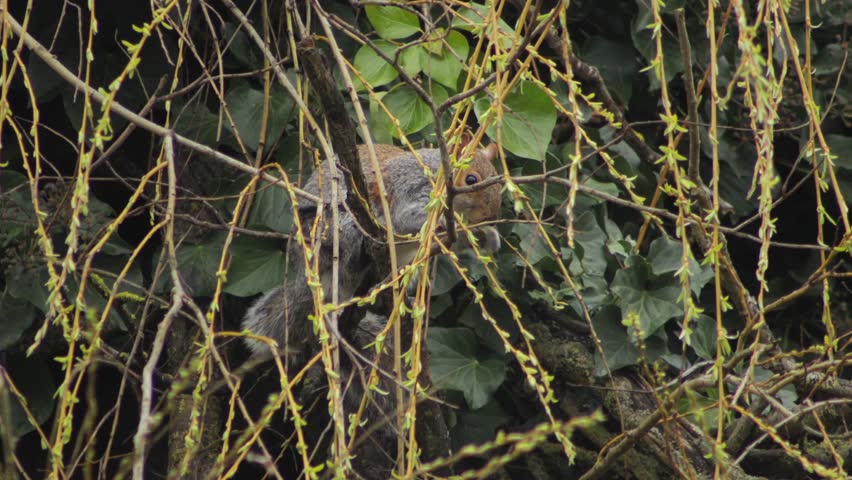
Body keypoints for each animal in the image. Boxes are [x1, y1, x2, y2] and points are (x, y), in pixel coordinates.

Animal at [240, 142, 501, 477]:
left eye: (499, 185)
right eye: (470, 180)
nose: (490, 217)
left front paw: (485, 238)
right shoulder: (409, 190)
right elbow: (409, 219)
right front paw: (448, 224)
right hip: (336, 229)